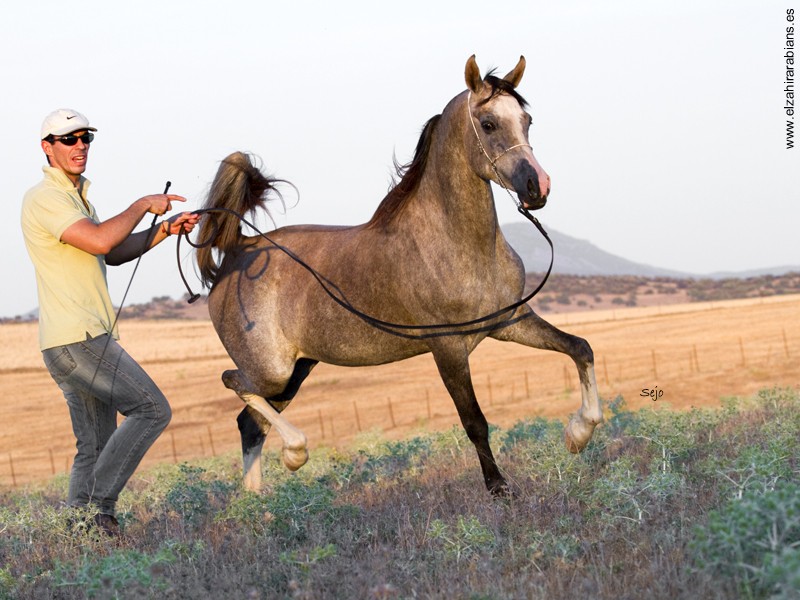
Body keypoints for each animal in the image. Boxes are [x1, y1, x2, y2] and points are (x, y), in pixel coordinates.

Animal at [197, 57, 604, 496]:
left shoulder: (510, 322)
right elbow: (474, 422)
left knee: (250, 425)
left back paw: (257, 503)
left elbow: (580, 348)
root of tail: (238, 251)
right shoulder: (448, 348)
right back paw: (294, 454)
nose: (537, 187)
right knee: (234, 384)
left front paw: (579, 434)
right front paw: (499, 489)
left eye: (527, 120)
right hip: (272, 371)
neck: (459, 245)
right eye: (489, 123)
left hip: (296, 370)